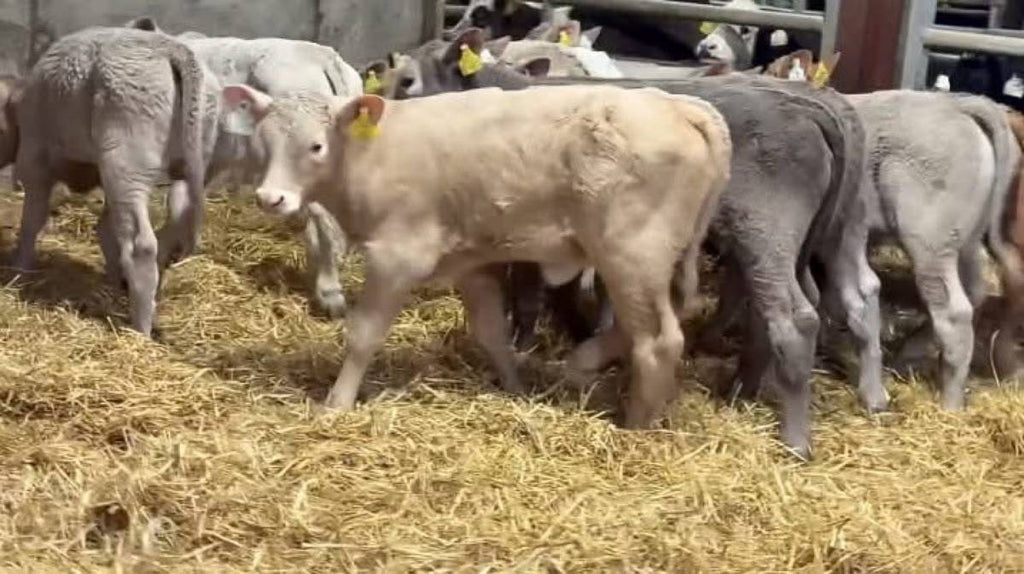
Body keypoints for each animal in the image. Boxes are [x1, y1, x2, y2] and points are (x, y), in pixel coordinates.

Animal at [9, 27, 221, 336]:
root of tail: (172, 49)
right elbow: (106, 228)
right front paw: (111, 279)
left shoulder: (34, 156)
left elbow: (32, 220)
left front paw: (19, 271)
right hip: (190, 161)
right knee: (171, 229)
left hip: (126, 161)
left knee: (141, 245)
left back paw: (141, 331)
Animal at [221, 82, 732, 434]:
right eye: (264, 142)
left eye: (316, 146)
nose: (271, 198)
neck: (373, 151)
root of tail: (678, 104)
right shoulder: (471, 264)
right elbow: (492, 333)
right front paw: (514, 388)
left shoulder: (397, 256)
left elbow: (363, 335)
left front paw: (337, 403)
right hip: (647, 261)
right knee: (649, 323)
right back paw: (583, 363)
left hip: (632, 254)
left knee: (658, 340)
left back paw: (636, 425)